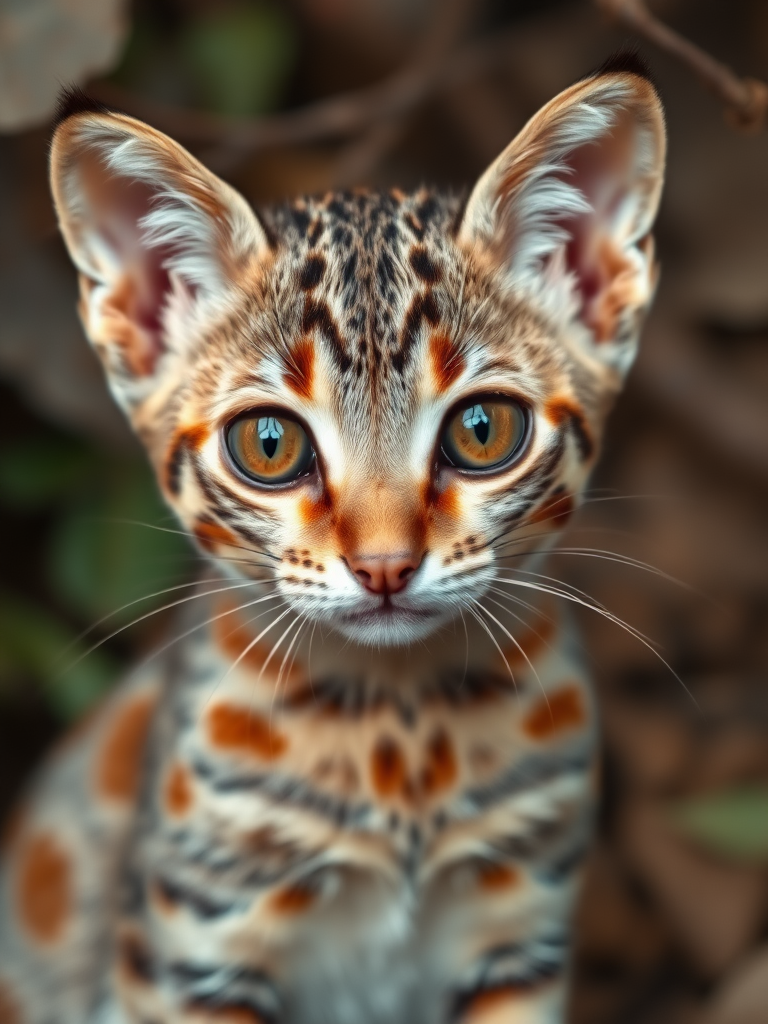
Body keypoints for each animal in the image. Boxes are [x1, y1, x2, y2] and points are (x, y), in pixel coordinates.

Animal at [0, 54, 667, 1024]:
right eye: (270, 444)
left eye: (482, 430)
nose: (385, 566)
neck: (399, 727)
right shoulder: (191, 946)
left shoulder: (521, 925)